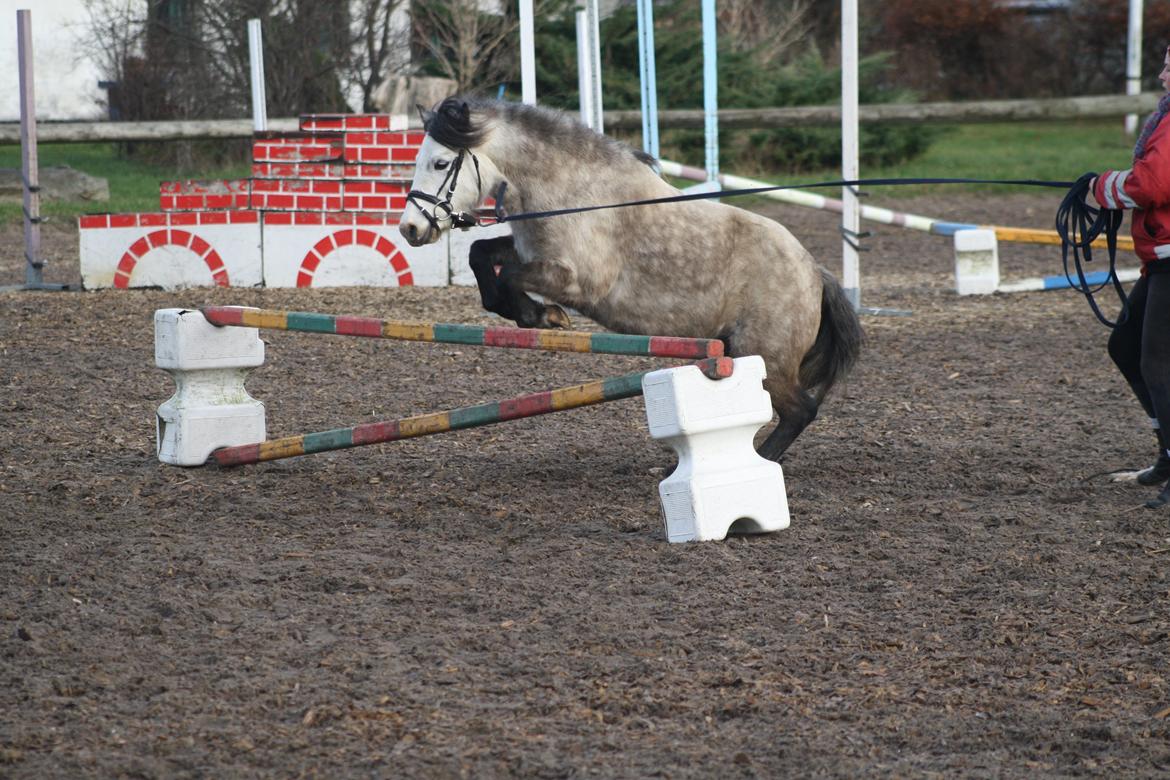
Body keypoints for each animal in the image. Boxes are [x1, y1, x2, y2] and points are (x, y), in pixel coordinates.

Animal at [397, 99, 865, 460]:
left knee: (800, 411)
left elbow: (510, 277)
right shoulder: (536, 255)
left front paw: (543, 316)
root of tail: (815, 273)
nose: (410, 230)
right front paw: (531, 314)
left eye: (440, 162)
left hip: (766, 356)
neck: (570, 192)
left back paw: (760, 463)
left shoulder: (576, 280)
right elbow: (482, 256)